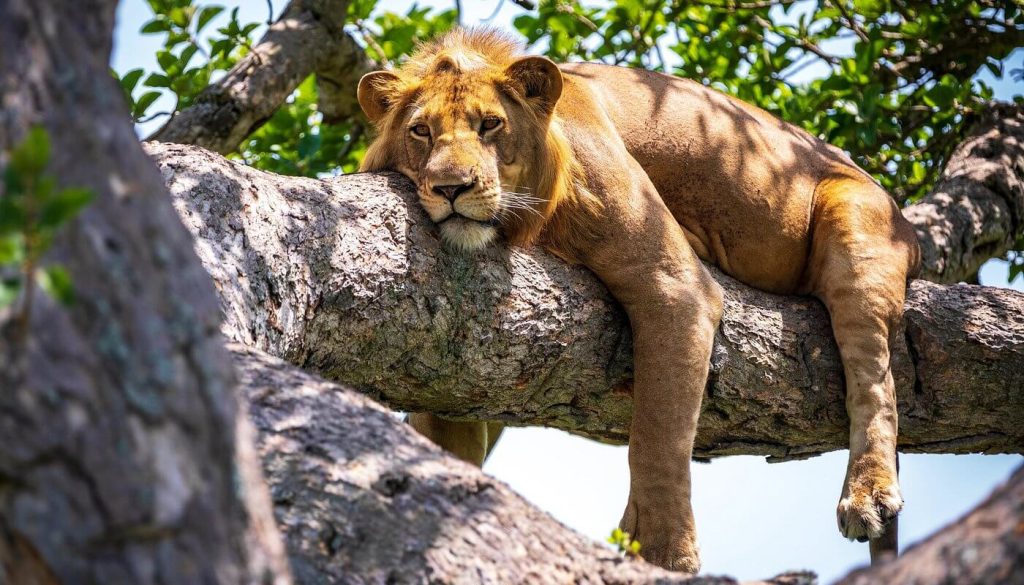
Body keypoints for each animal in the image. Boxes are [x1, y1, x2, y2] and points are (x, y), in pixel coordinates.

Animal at [357, 28, 919, 573]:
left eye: (491, 124)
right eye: (421, 132)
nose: (451, 188)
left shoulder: (676, 287)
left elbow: (657, 438)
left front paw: (667, 554)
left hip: (855, 229)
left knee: (876, 381)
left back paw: (868, 495)